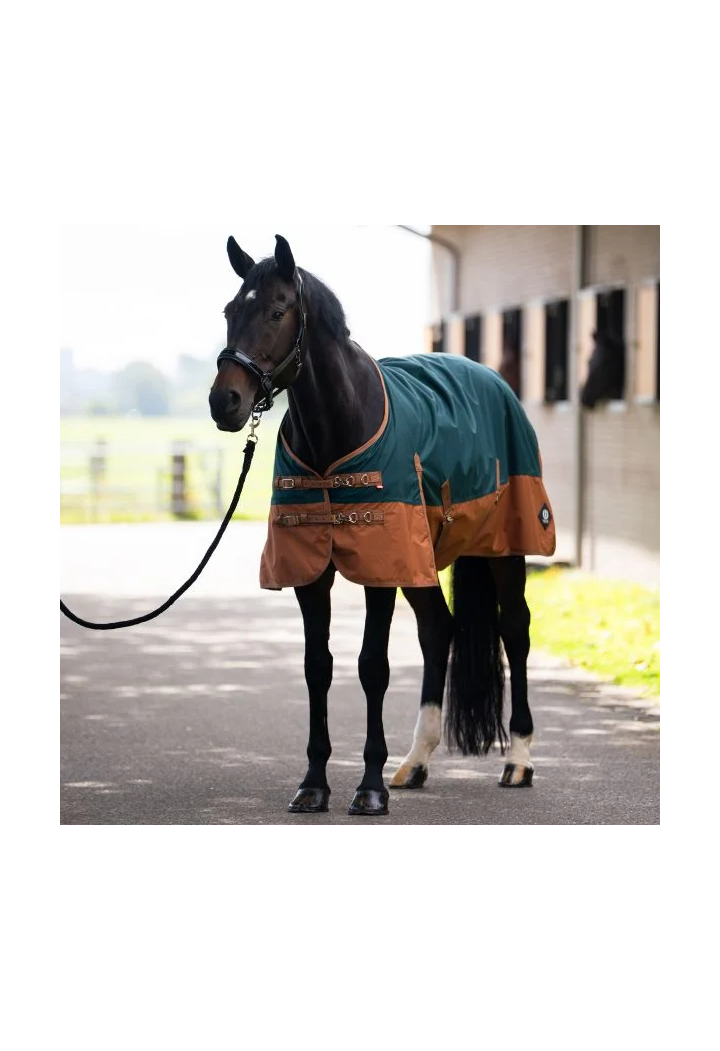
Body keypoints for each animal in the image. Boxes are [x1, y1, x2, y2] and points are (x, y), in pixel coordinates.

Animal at [209, 234, 556, 817]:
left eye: (277, 311)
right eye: (231, 311)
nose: (224, 401)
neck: (337, 431)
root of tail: (492, 378)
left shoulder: (379, 564)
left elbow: (373, 666)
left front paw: (368, 788)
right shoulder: (313, 571)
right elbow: (318, 667)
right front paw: (314, 784)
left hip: (505, 545)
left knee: (516, 629)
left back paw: (519, 761)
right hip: (419, 561)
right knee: (439, 629)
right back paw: (415, 763)